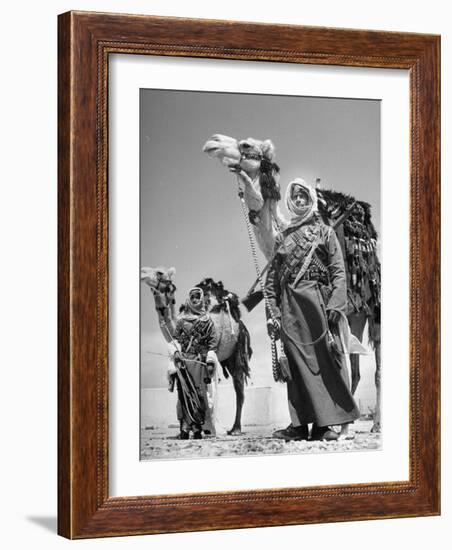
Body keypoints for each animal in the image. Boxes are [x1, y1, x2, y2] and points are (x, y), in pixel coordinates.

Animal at [141, 268, 252, 436]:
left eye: (159, 272)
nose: (143, 274)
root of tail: (241, 324)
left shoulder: (206, 357)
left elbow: (204, 390)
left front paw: (205, 428)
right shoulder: (179, 363)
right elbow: (182, 391)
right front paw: (183, 432)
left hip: (237, 350)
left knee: (239, 388)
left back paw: (235, 429)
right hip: (226, 358)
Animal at [203, 133, 380, 432]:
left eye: (246, 145)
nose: (211, 142)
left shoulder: (334, 305)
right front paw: (297, 426)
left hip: (374, 308)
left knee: (375, 365)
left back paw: (373, 424)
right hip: (356, 315)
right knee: (356, 367)